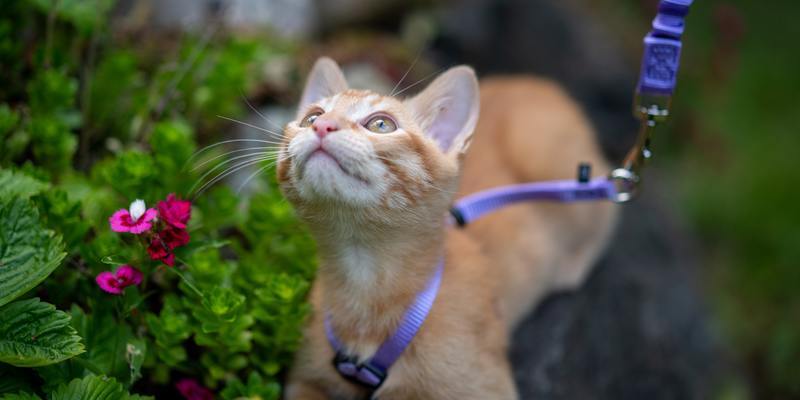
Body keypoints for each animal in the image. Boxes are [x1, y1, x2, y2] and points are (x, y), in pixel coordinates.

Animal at [278, 57, 616, 398]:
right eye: (311, 117)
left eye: (381, 124)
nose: (322, 126)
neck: (364, 283)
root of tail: (542, 84)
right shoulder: (303, 380)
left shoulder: (488, 388)